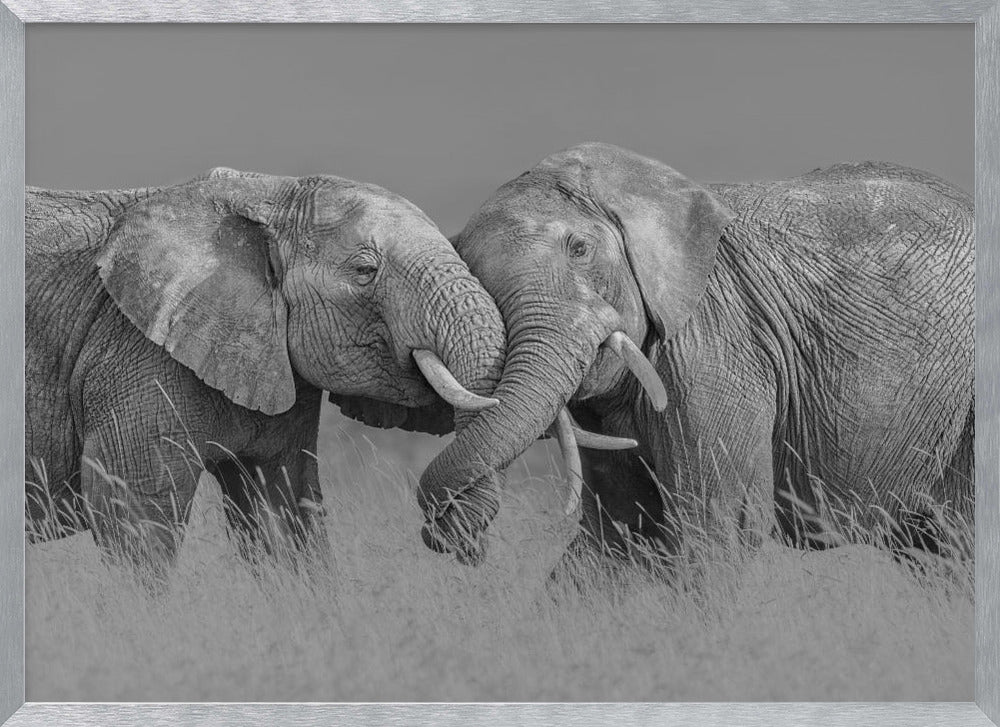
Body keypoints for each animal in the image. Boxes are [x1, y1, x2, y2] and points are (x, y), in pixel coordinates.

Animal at [25, 167, 507, 580]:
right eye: (365, 271)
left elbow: (281, 509)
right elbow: (132, 507)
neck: (266, 195)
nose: (455, 541)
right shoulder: (137, 351)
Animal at [416, 142, 974, 571]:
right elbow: (617, 532)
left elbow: (716, 526)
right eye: (471, 271)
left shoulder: (717, 341)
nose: (463, 543)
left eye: (579, 249)